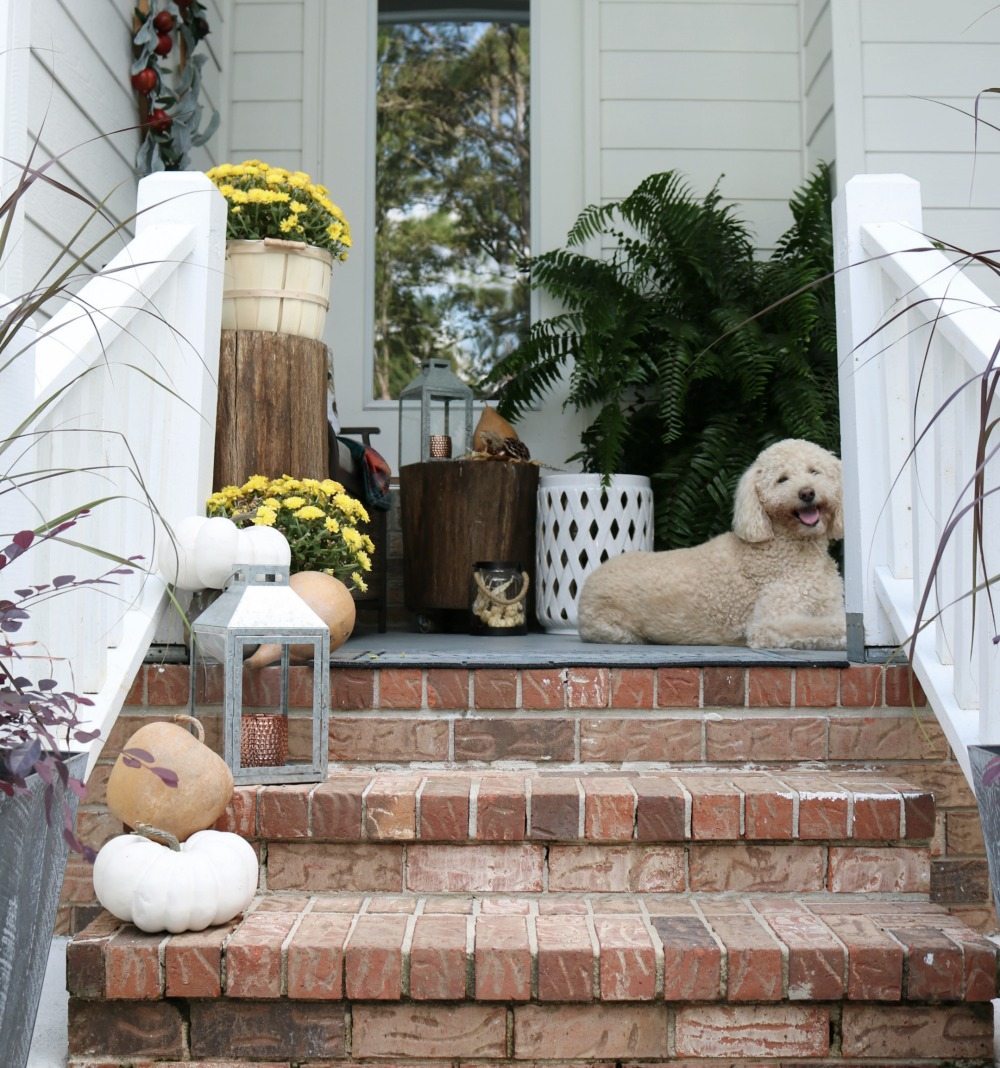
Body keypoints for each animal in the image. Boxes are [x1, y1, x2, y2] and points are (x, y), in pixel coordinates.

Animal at [572, 435, 846, 649]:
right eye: (782, 479)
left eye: (814, 471)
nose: (807, 493)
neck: (791, 547)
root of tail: (592, 577)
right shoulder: (769, 623)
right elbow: (824, 627)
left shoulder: (827, 605)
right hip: (616, 630)